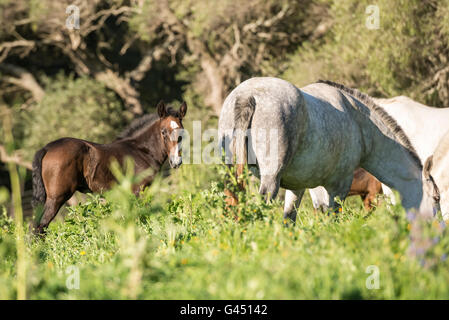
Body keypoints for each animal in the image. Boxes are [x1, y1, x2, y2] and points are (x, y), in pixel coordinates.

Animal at [31, 101, 186, 234]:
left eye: (182, 133)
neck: (142, 151)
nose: (176, 161)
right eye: (163, 132)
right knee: (40, 227)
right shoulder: (139, 191)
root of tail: (47, 148)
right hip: (57, 197)